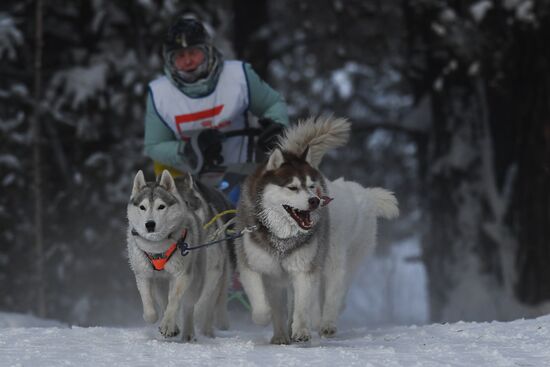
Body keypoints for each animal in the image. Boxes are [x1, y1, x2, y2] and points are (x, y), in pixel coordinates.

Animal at [128, 170, 233, 342]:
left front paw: (169, 326)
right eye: (142, 207)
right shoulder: (144, 275)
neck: (158, 248)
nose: (150, 224)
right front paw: (158, 319)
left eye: (161, 206)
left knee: (192, 306)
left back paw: (191, 332)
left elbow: (178, 301)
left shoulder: (187, 274)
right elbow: (152, 305)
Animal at [235, 115, 398, 344]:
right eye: (292, 187)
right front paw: (276, 330)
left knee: (333, 295)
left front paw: (301, 330)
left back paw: (327, 323)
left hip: (336, 261)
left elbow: (302, 305)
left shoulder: (305, 269)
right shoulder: (256, 267)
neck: (282, 237)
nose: (314, 200)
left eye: (311, 186)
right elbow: (265, 305)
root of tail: (365, 194)